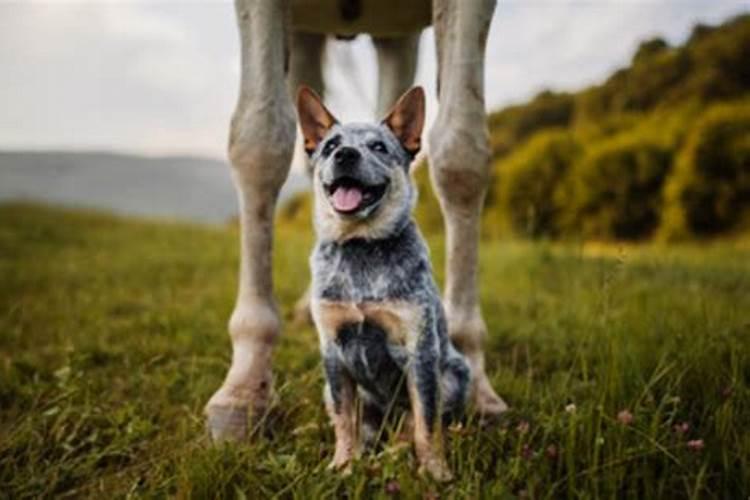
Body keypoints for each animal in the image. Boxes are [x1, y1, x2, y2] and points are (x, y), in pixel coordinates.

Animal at [298, 85, 470, 480]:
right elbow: (345, 420)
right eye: (330, 145)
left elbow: (427, 423)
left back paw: (394, 452)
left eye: (378, 146)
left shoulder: (420, 352)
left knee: (412, 426)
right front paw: (343, 464)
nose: (345, 154)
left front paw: (436, 472)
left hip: (455, 376)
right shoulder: (333, 351)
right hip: (329, 389)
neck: (361, 246)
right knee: (357, 424)